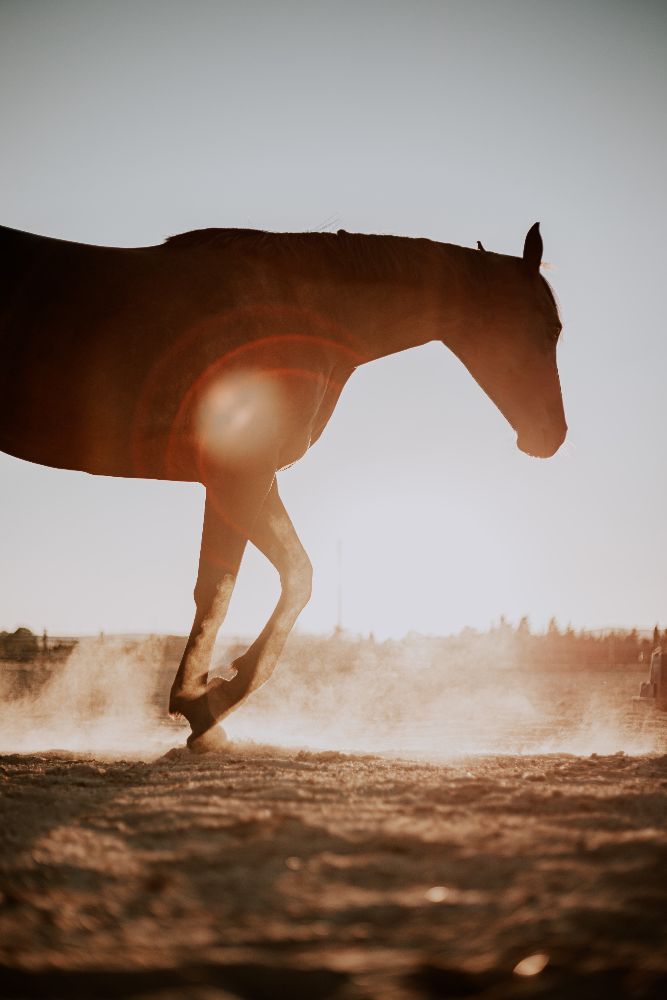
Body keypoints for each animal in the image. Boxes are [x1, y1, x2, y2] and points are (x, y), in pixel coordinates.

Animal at [0, 221, 565, 751]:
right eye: (549, 326)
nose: (552, 436)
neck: (297, 308)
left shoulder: (257, 477)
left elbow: (298, 576)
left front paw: (221, 689)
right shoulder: (238, 473)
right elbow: (217, 590)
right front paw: (203, 703)